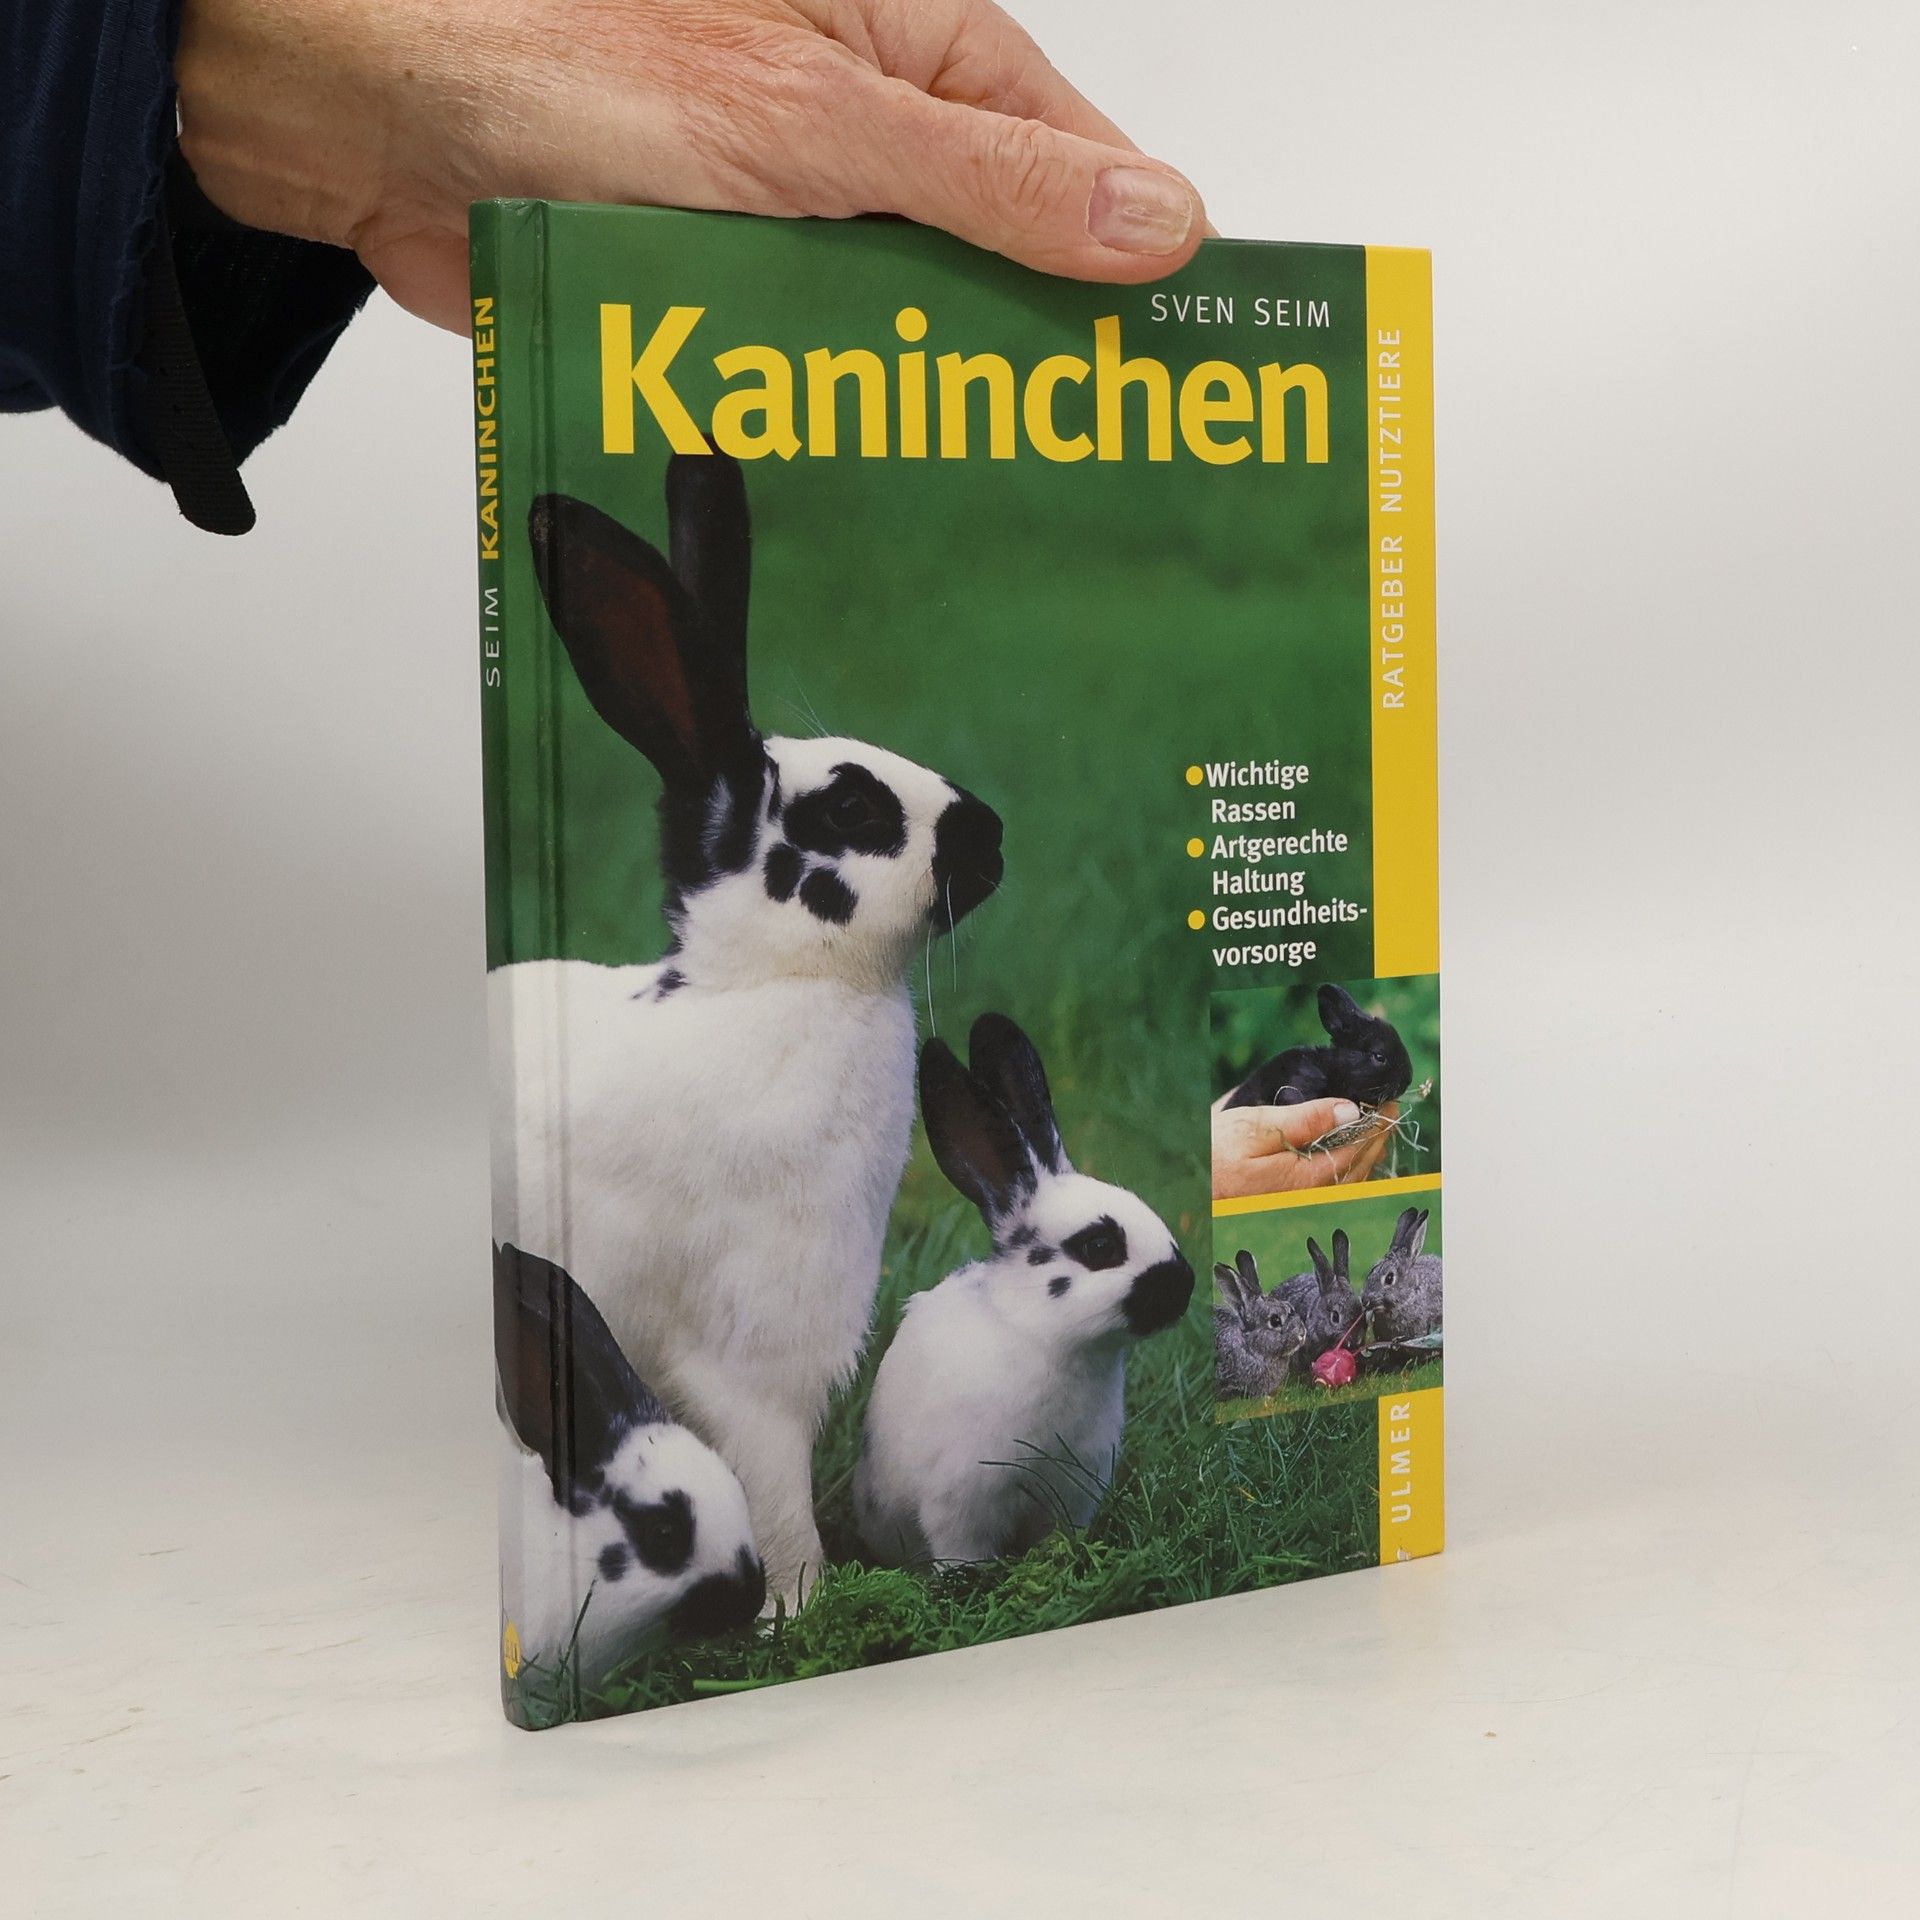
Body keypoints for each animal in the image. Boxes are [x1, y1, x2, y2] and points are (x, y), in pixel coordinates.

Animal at [490, 449, 1005, 1604]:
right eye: (852, 809)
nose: (995, 837)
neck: (768, 986)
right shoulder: (751, 1359)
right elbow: (773, 1492)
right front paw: (802, 1606)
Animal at [855, 1014, 1195, 1566]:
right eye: (1099, 1245)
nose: (1184, 1286)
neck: (1043, 1338)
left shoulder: (1077, 1485)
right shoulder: (961, 1499)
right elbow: (961, 1550)